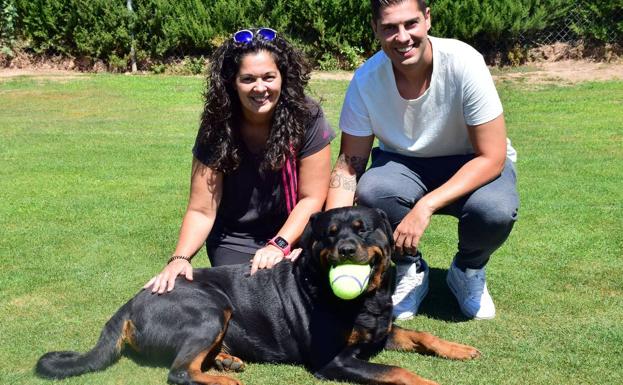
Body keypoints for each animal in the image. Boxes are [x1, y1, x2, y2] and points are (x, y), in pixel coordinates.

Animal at [36, 207, 480, 384]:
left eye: (363, 229)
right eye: (329, 234)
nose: (346, 249)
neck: (366, 301)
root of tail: (129, 302)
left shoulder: (380, 331)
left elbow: (421, 335)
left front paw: (459, 348)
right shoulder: (333, 361)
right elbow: (396, 371)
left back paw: (227, 362)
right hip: (211, 307)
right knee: (179, 372)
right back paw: (224, 378)